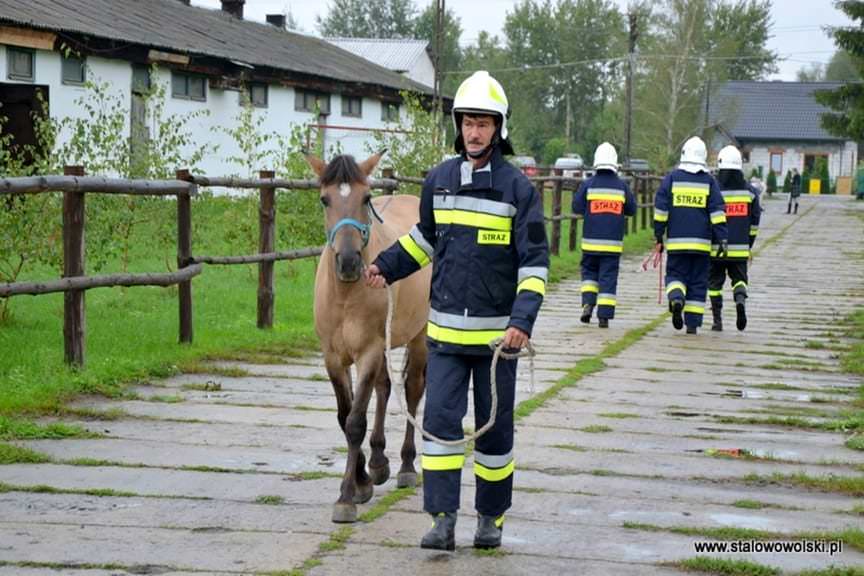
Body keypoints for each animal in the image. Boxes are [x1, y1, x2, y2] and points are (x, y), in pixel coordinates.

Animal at [308, 151, 432, 524]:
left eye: (365, 198)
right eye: (324, 199)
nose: (348, 262)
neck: (346, 294)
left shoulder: (368, 352)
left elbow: (355, 422)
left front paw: (347, 497)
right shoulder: (333, 358)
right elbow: (344, 415)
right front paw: (363, 479)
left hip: (418, 337)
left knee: (413, 390)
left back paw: (405, 466)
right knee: (385, 388)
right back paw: (378, 464)